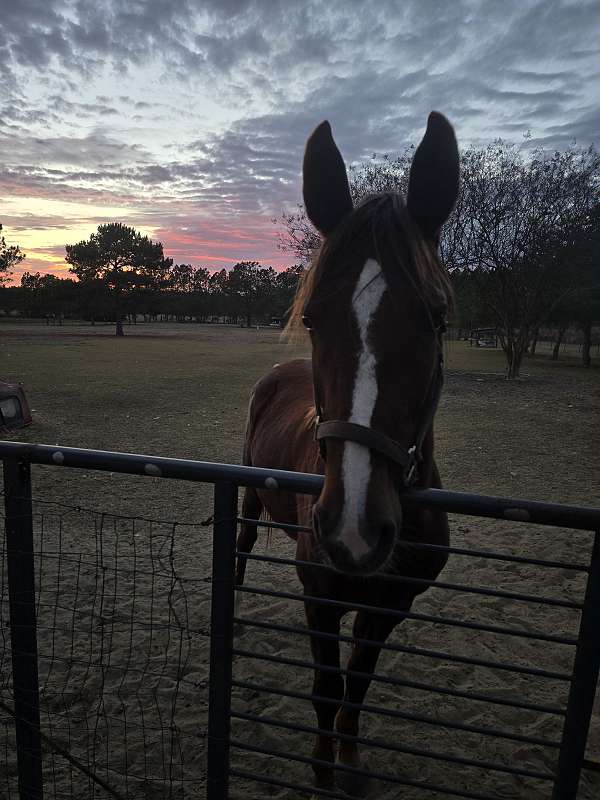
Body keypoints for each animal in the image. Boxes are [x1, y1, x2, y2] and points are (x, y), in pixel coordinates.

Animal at [236, 111, 459, 795]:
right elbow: (326, 689)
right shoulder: (321, 594)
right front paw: (321, 769)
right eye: (312, 318)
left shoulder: (389, 605)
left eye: (437, 318)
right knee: (242, 544)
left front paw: (351, 764)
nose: (354, 530)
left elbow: (357, 686)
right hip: (249, 495)